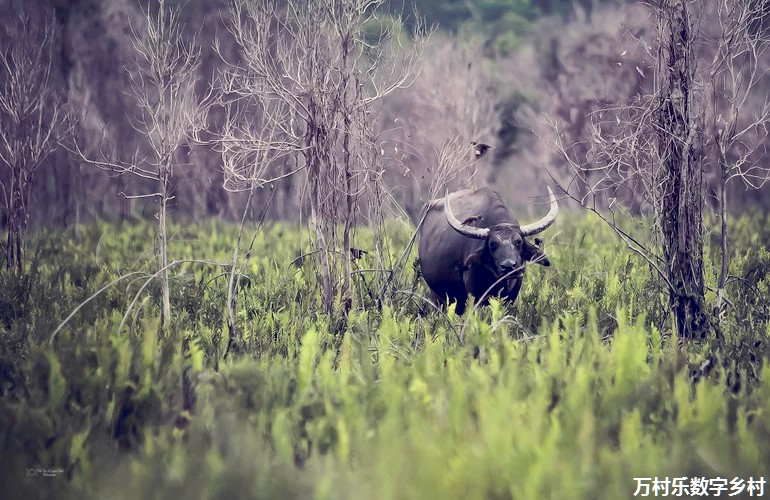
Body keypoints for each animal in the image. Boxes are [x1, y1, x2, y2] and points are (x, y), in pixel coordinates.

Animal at [416, 186, 556, 314]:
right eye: (492, 244)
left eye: (518, 242)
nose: (509, 266)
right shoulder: (473, 294)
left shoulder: (513, 293)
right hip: (436, 295)